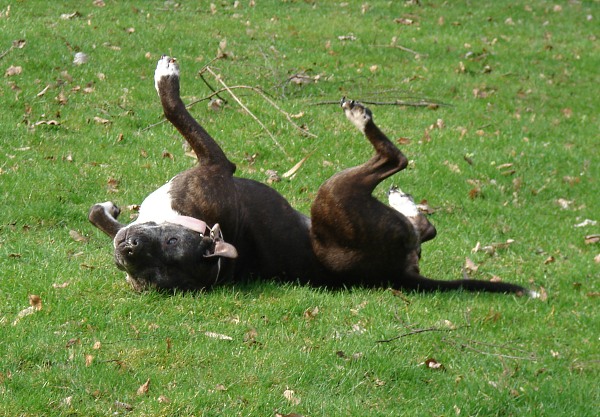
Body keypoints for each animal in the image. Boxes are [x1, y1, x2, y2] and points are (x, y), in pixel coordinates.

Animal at [88, 54, 536, 296]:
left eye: (170, 243)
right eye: (142, 274)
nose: (129, 249)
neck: (203, 225)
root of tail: (398, 274)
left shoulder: (216, 166)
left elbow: (172, 110)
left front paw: (167, 77)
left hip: (330, 194)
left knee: (400, 169)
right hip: (335, 196)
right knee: (409, 193)